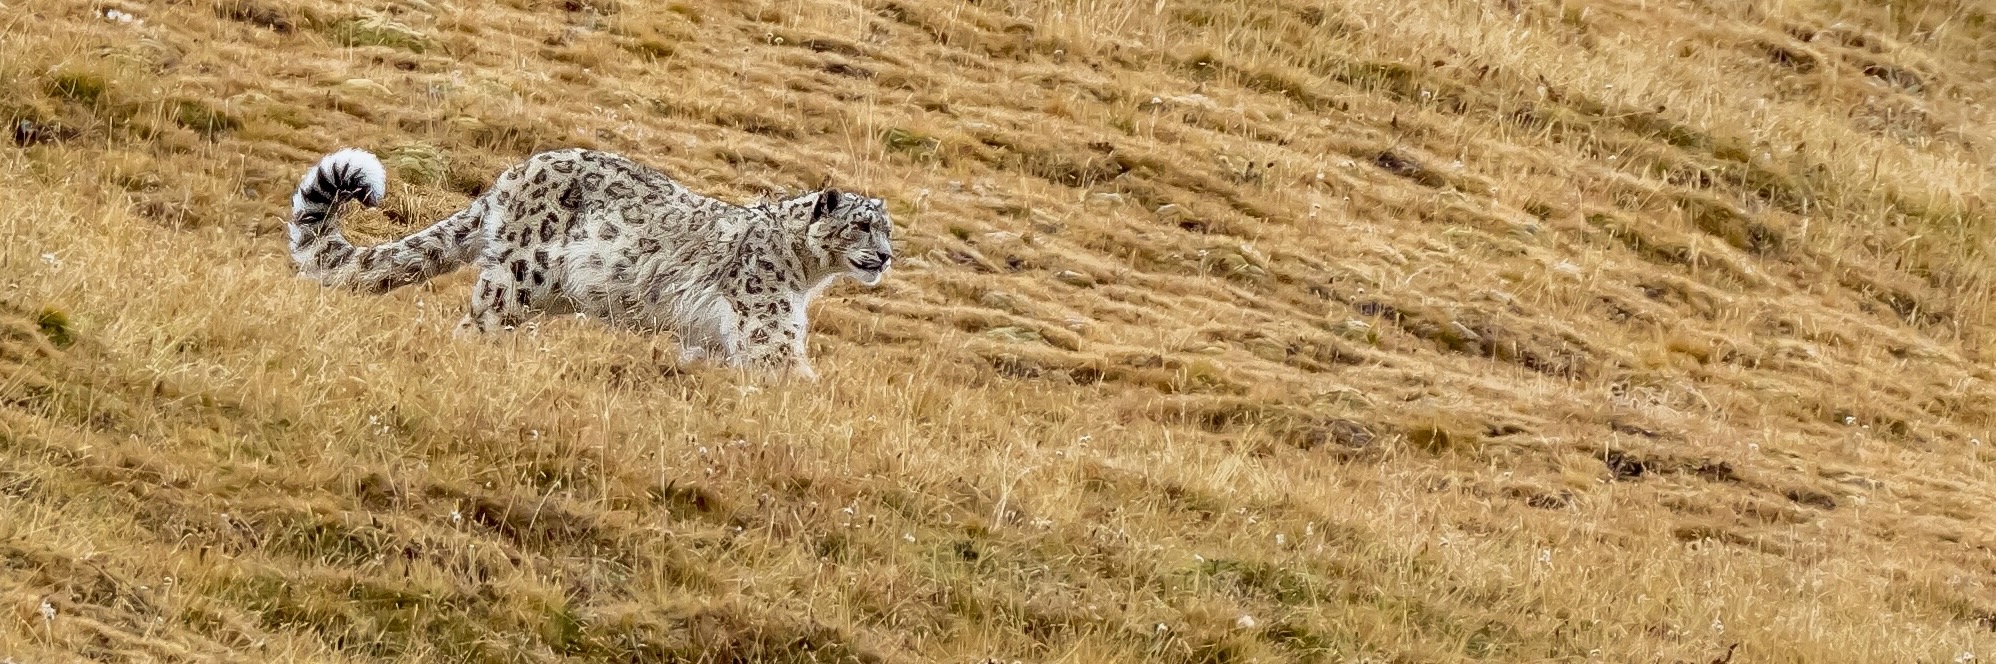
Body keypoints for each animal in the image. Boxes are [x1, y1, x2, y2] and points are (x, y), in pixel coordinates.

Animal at [287, 147, 894, 380]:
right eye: (862, 225)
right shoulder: (770, 326)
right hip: (518, 275)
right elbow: (789, 373)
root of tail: (513, 173)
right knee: (475, 324)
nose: (886, 256)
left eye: (889, 229)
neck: (807, 274)